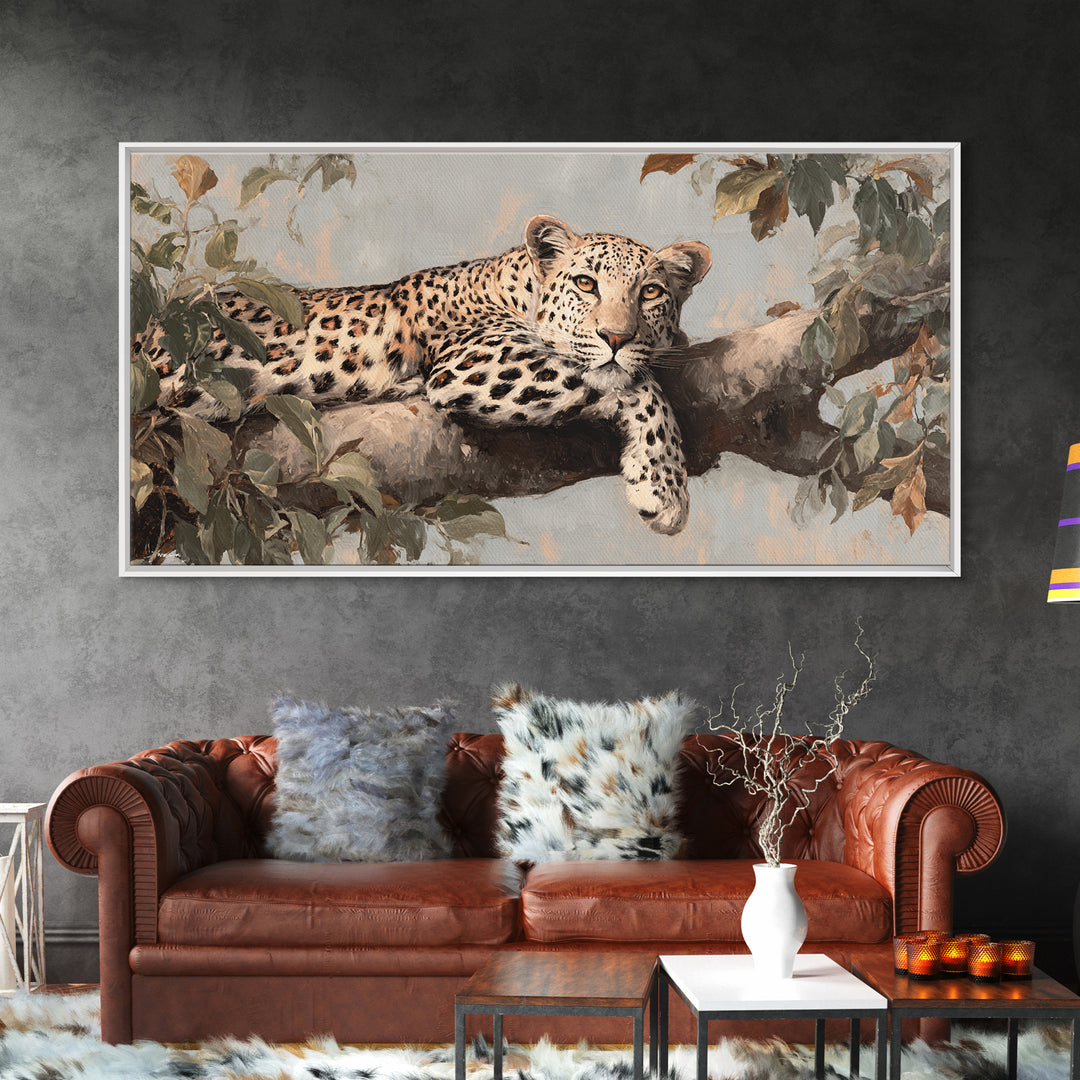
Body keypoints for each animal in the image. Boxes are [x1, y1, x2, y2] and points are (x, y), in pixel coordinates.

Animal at [152, 216, 712, 535]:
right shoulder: (475, 362)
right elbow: (632, 386)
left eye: (651, 293)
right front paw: (665, 487)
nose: (617, 337)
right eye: (585, 284)